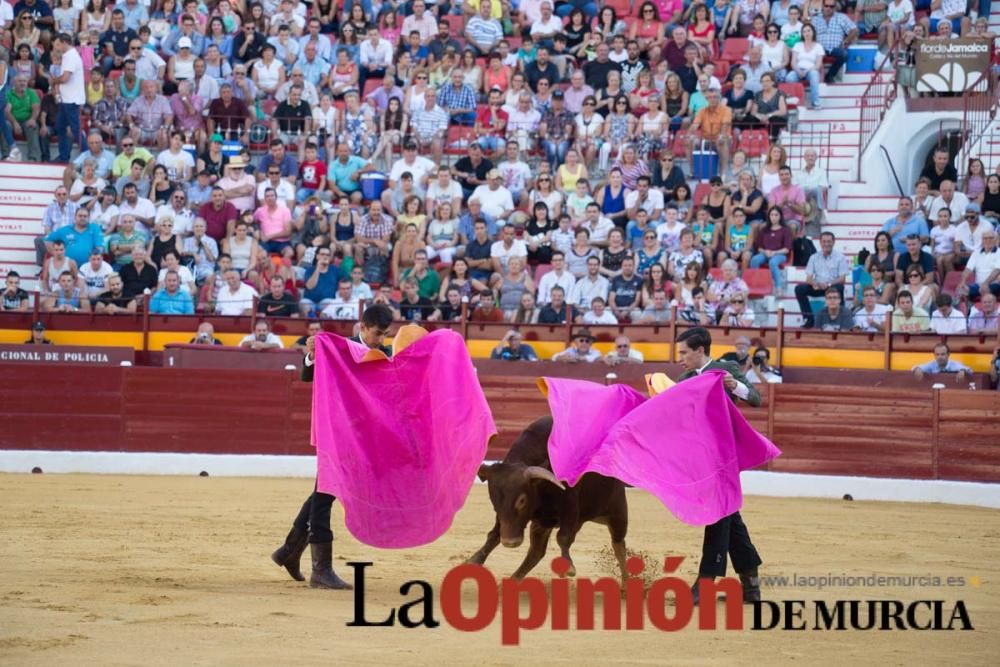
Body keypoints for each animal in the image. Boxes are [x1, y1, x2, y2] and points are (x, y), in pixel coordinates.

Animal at [466, 414, 624, 580]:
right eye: (494, 501)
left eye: (522, 500)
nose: (510, 542)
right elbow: (495, 533)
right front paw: (475, 559)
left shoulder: (570, 507)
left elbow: (563, 537)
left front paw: (569, 567)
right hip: (542, 524)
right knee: (536, 552)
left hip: (617, 512)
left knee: (619, 547)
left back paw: (626, 582)